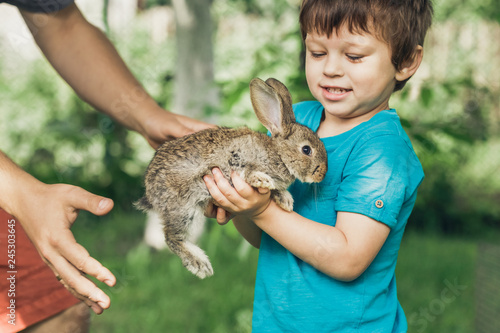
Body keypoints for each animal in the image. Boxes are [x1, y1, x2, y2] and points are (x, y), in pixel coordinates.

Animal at [135, 78, 328, 278]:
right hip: (183, 207)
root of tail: (150, 192)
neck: (278, 154)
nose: (322, 174)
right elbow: (249, 172)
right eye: (306, 150)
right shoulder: (238, 158)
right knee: (171, 237)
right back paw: (199, 263)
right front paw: (262, 179)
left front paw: (285, 200)